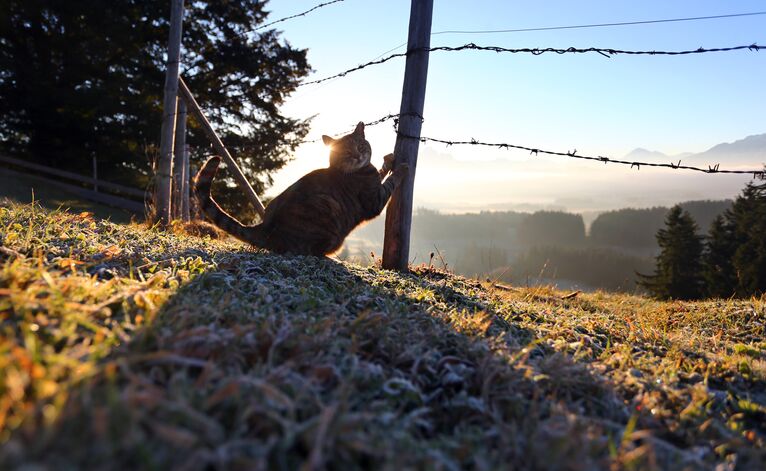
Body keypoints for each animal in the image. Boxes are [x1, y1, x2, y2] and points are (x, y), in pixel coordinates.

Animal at [192, 120, 408, 256]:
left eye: (361, 146)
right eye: (346, 152)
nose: (357, 156)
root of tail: (265, 228)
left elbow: (382, 172)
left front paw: (389, 160)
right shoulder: (375, 200)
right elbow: (390, 182)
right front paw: (402, 168)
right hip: (327, 210)